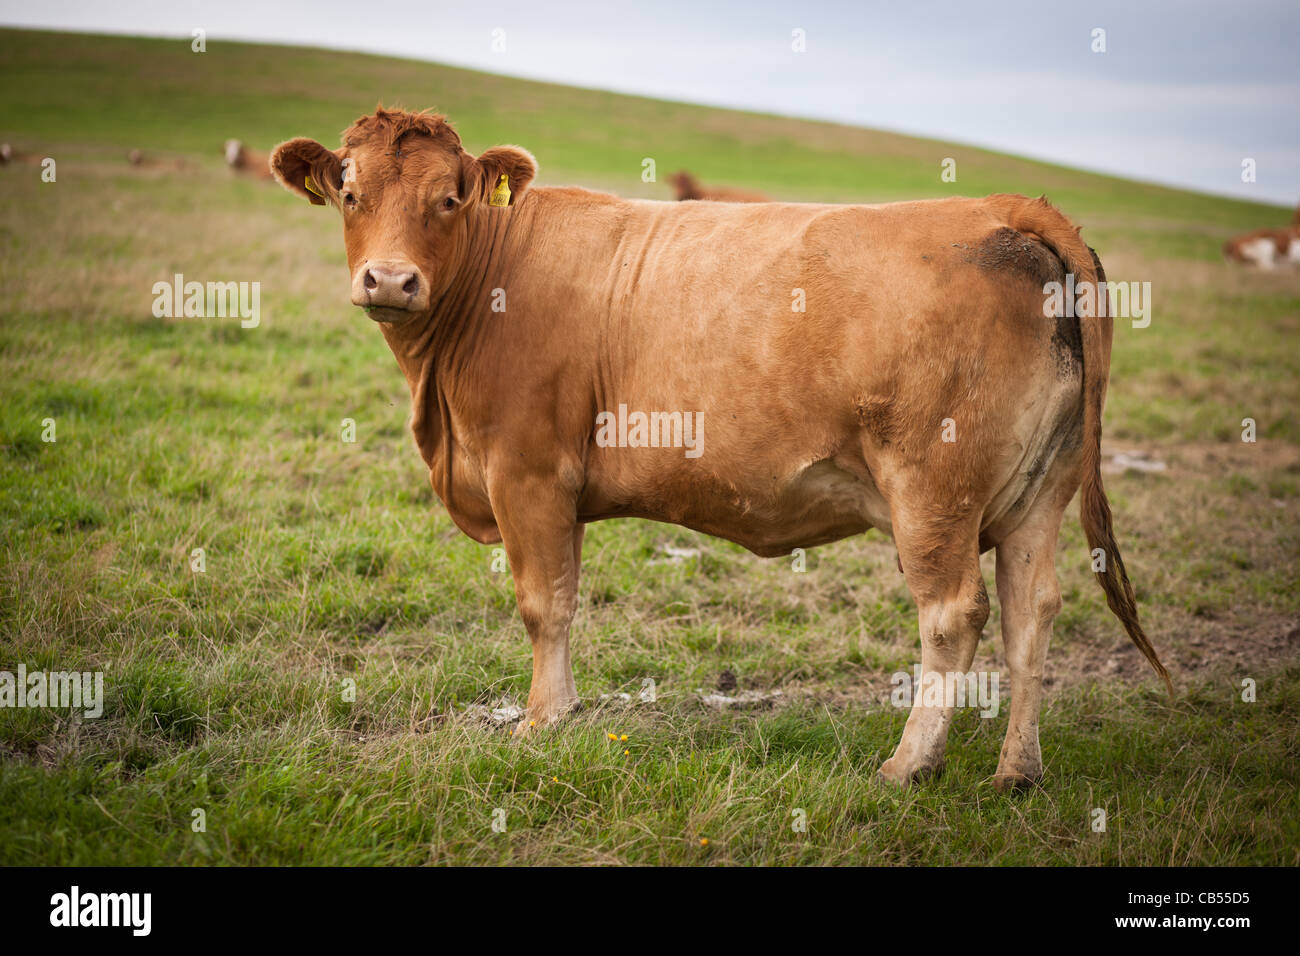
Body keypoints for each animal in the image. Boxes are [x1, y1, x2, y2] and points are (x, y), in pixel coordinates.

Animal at [270, 108, 1171, 790]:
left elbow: (542, 603)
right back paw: (1018, 769)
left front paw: (542, 721)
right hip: (1039, 493)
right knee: (1032, 610)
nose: (390, 281)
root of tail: (1000, 207)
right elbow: (560, 598)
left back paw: (909, 764)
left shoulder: (526, 471)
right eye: (349, 192)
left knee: (954, 613)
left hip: (934, 488)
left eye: (451, 198)